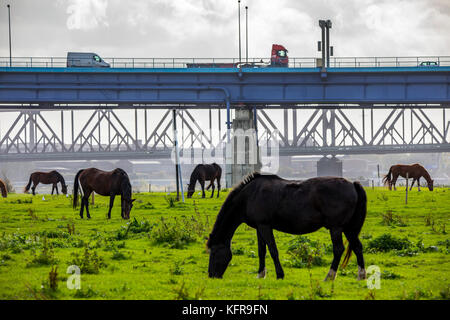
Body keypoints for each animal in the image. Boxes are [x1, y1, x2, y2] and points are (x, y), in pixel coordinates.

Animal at [206, 174, 368, 282]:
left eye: (214, 252)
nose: (211, 275)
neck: (250, 195)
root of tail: (353, 184)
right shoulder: (259, 227)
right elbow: (261, 251)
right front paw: (260, 274)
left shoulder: (265, 226)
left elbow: (273, 250)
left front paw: (279, 274)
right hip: (349, 228)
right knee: (357, 247)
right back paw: (361, 275)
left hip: (336, 228)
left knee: (338, 249)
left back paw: (329, 276)